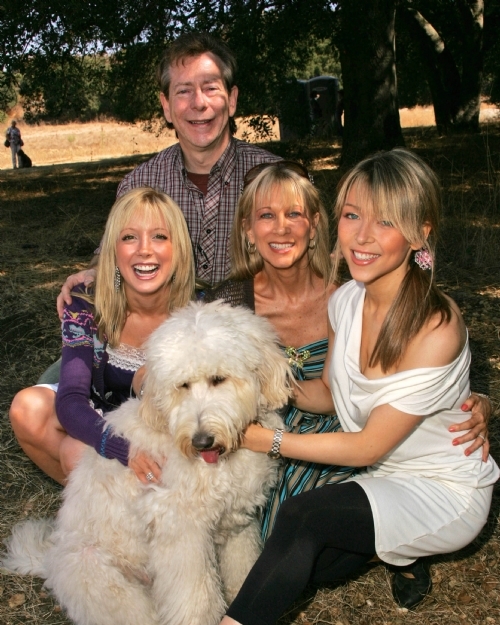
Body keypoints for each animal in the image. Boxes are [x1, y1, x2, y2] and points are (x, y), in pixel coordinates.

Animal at [2, 302, 292, 624]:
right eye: (183, 385)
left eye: (218, 379)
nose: (201, 441)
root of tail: (50, 560)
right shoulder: (181, 531)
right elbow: (195, 597)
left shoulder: (239, 522)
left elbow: (243, 569)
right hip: (105, 580)